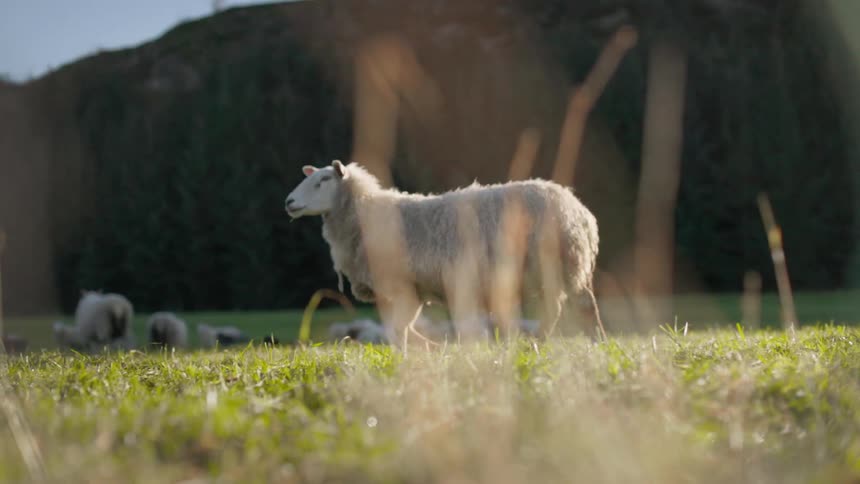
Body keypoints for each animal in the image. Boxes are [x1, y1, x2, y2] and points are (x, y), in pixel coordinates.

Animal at [285, 160, 604, 346]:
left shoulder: (401, 285)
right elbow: (401, 328)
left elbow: (399, 329)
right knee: (556, 309)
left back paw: (591, 341)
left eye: (322, 181)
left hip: (561, 264)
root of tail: (578, 208)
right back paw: (540, 340)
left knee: (581, 306)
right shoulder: (409, 289)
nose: (288, 201)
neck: (365, 214)